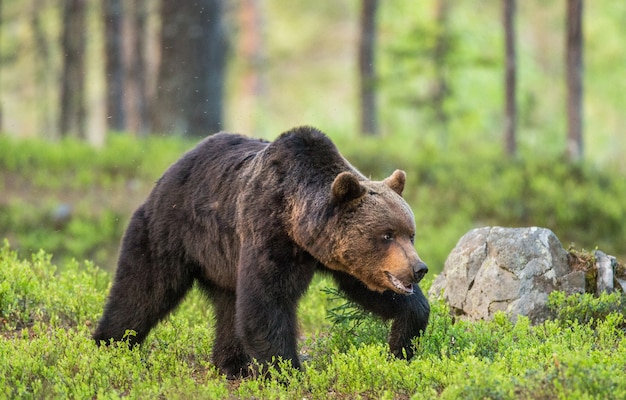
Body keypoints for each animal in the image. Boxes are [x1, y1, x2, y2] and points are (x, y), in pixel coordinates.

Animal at [94, 126, 428, 378]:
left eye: (410, 234)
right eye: (386, 235)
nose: (419, 268)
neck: (300, 229)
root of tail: (168, 173)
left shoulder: (336, 257)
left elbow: (372, 291)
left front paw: (402, 343)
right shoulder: (267, 229)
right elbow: (267, 302)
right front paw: (288, 370)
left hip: (222, 261)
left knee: (228, 306)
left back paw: (232, 365)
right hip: (170, 230)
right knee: (143, 290)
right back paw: (111, 345)